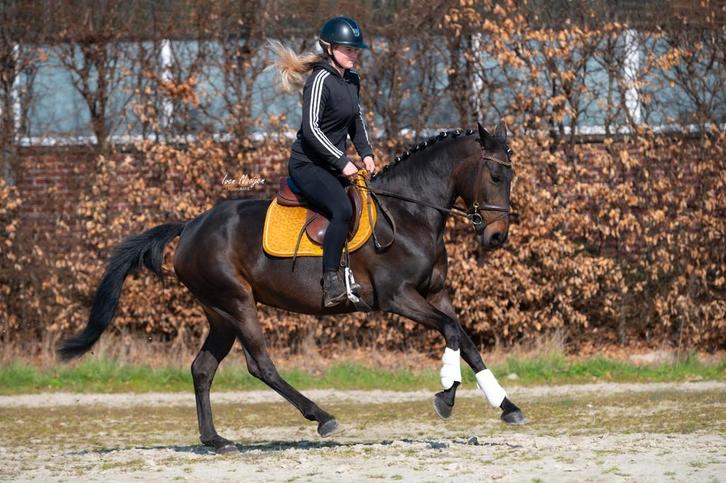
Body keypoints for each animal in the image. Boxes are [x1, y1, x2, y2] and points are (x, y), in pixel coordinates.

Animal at [57, 120, 526, 454]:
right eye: (495, 174)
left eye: (510, 174)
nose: (497, 237)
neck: (410, 212)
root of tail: (190, 226)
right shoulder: (398, 298)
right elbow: (450, 332)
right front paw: (446, 396)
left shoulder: (435, 294)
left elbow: (464, 337)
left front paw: (507, 406)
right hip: (237, 303)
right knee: (260, 365)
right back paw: (322, 417)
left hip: (219, 313)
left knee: (202, 368)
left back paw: (216, 440)